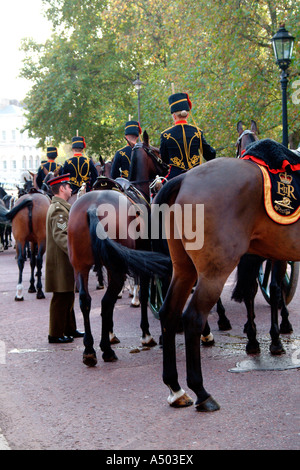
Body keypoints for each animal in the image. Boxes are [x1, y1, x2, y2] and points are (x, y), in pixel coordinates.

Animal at [68, 131, 171, 368]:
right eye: (156, 151)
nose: (167, 166)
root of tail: (93, 207)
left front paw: (112, 333)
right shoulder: (142, 261)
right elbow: (144, 294)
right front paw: (145, 334)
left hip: (81, 266)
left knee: (86, 301)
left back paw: (90, 350)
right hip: (118, 269)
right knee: (106, 301)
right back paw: (105, 350)